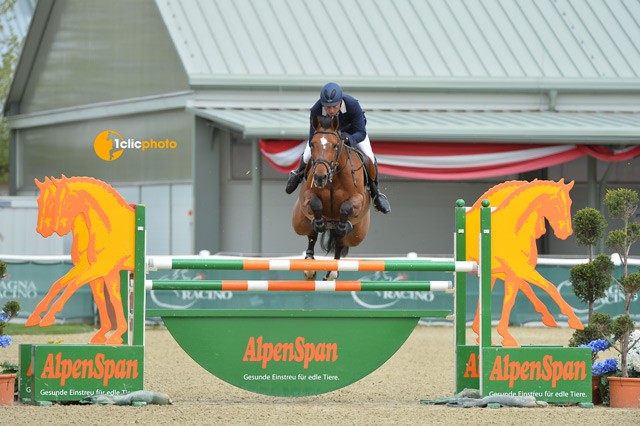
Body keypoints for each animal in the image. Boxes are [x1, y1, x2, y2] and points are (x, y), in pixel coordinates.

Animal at [28, 176, 136, 346]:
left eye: (61, 201)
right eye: (39, 201)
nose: (43, 230)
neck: (110, 226)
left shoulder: (99, 268)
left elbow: (73, 285)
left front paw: (48, 318)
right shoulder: (99, 270)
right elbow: (106, 298)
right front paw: (108, 334)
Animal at [292, 115, 370, 282]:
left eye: (335, 146)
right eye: (312, 145)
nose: (320, 177)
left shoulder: (358, 200)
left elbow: (346, 208)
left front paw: (342, 225)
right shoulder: (307, 196)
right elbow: (315, 203)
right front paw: (320, 222)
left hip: (357, 234)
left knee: (340, 242)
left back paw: (332, 271)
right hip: (299, 222)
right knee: (311, 235)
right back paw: (309, 266)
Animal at [462, 179, 584, 346]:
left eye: (570, 203)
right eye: (556, 205)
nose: (566, 233)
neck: (512, 229)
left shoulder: (506, 273)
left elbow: (516, 293)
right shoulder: (520, 271)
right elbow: (545, 288)